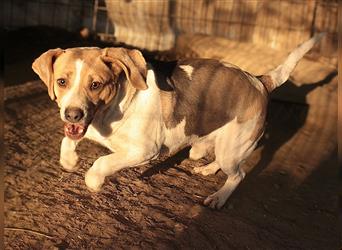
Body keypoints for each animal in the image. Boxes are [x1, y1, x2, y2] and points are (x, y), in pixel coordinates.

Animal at [32, 33, 324, 209]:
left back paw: (218, 198)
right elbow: (67, 142)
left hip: (232, 148)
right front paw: (70, 161)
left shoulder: (144, 151)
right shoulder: (86, 129)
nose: (73, 114)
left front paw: (93, 182)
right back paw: (207, 169)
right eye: (62, 82)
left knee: (238, 174)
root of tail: (260, 81)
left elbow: (101, 162)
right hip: (220, 145)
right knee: (221, 163)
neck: (110, 111)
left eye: (96, 85)